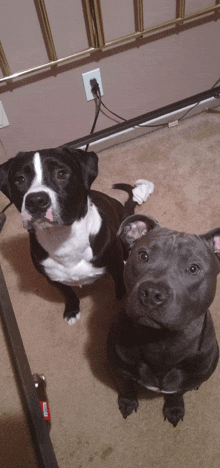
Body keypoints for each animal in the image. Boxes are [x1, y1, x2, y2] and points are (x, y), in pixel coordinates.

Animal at [0, 148, 153, 324]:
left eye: (62, 173)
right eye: (20, 179)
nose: (36, 200)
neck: (62, 237)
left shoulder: (115, 264)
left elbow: (119, 283)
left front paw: (122, 300)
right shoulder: (52, 278)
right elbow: (68, 293)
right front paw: (72, 310)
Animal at [106, 214, 218, 426]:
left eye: (193, 268)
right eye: (143, 256)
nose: (151, 293)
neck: (161, 342)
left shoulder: (184, 382)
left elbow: (176, 394)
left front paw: (174, 409)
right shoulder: (119, 369)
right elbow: (126, 386)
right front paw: (127, 401)